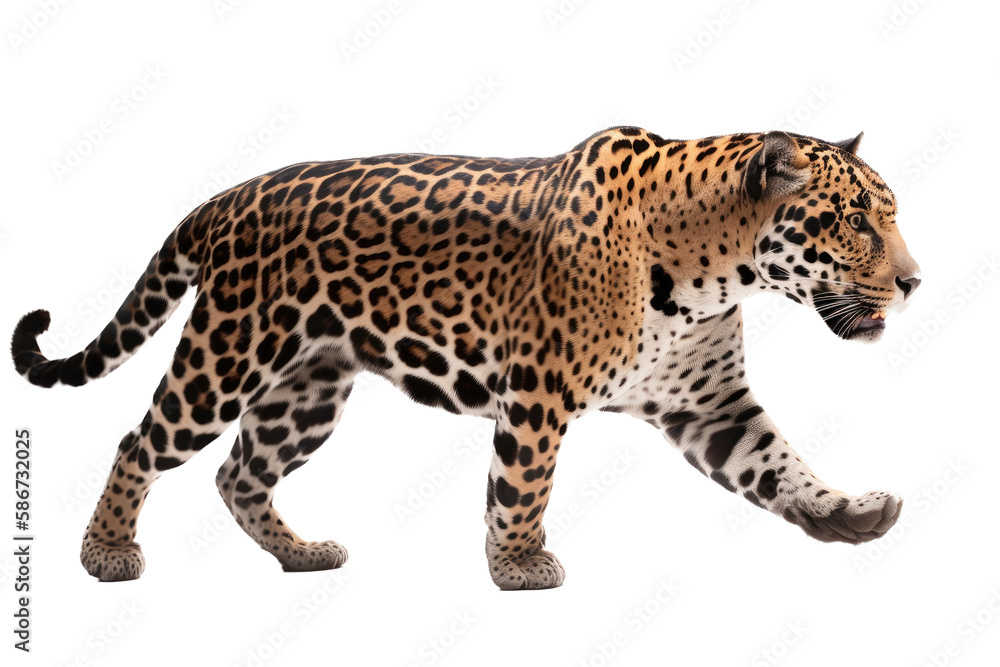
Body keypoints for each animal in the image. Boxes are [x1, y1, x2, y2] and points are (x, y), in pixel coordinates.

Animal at [11, 126, 920, 589]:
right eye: (853, 220)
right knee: (140, 442)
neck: (716, 267)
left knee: (241, 472)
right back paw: (105, 553)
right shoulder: (540, 391)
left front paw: (842, 512)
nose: (914, 281)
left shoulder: (708, 403)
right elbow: (523, 483)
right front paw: (518, 564)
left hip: (308, 386)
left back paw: (301, 554)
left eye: (889, 213)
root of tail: (226, 198)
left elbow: (777, 461)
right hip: (228, 355)